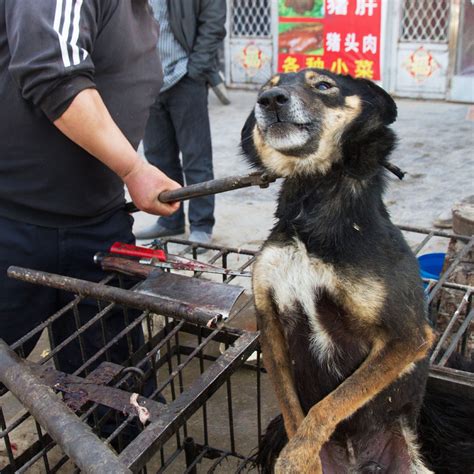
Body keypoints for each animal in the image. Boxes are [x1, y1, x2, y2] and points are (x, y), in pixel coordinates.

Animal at [243, 70, 436, 474]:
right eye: (266, 85)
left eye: (323, 85)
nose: (270, 99)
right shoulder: (270, 324)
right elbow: (292, 408)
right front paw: (301, 457)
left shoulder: (408, 336)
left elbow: (331, 402)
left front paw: (298, 455)